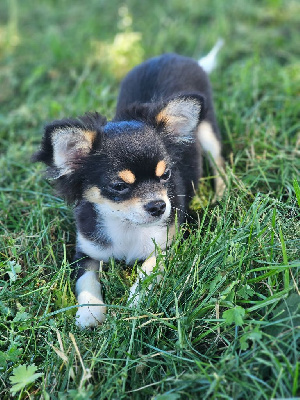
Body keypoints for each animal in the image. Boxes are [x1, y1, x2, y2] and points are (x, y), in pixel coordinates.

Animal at [33, 42, 225, 328]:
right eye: (119, 186)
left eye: (166, 175)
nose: (158, 206)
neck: (127, 226)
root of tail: (174, 57)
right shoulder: (86, 251)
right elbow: (86, 280)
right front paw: (90, 312)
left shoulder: (170, 243)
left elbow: (148, 268)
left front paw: (136, 302)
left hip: (208, 129)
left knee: (220, 161)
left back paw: (222, 192)